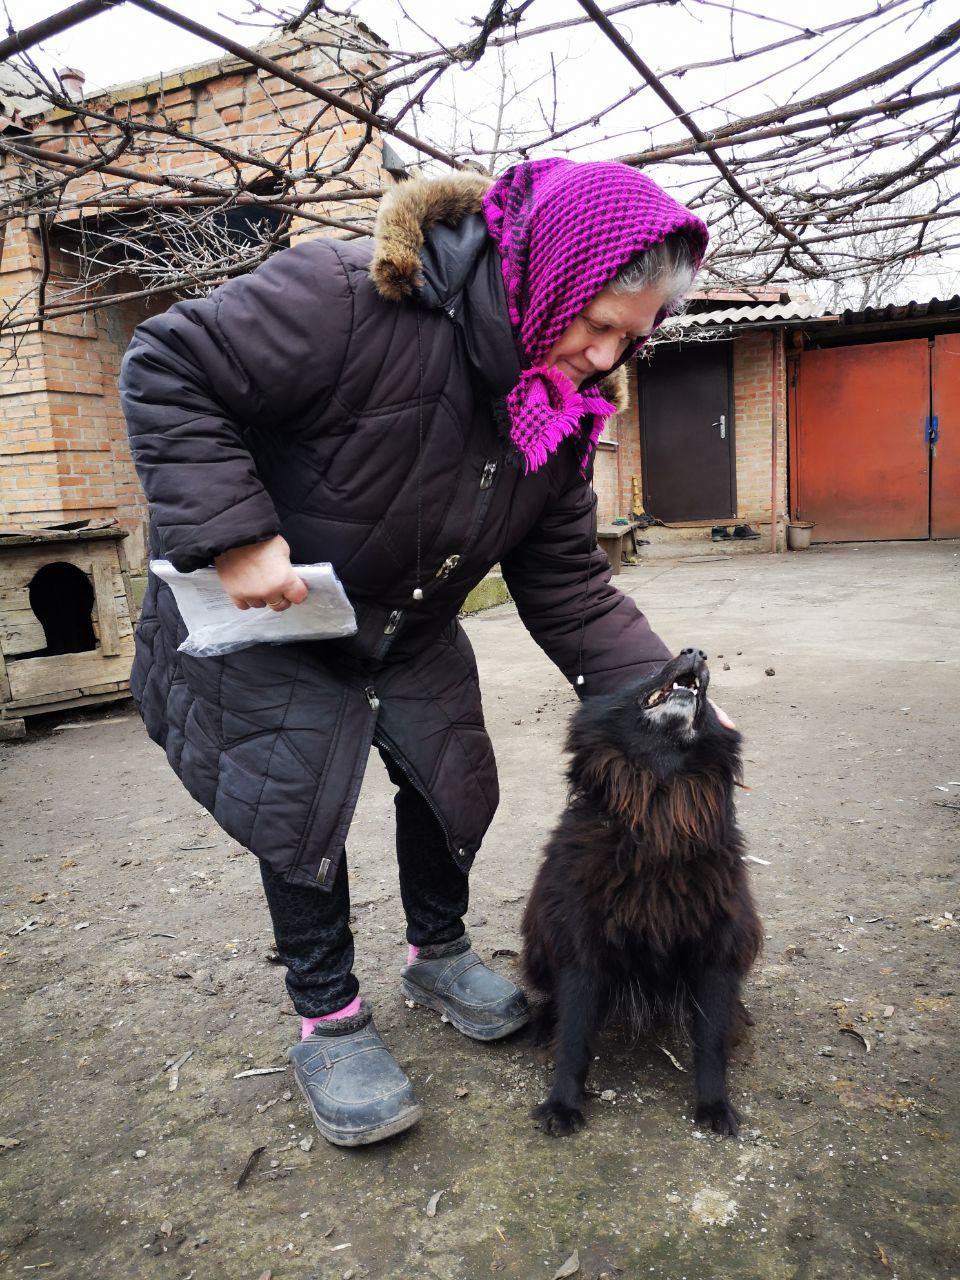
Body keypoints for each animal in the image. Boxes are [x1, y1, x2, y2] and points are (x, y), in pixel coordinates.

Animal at [522, 650, 762, 1141]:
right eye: (644, 673)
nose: (696, 651)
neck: (658, 809)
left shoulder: (717, 950)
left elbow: (711, 1038)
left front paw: (714, 1104)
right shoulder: (582, 948)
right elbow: (574, 1034)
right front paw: (562, 1104)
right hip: (540, 932)